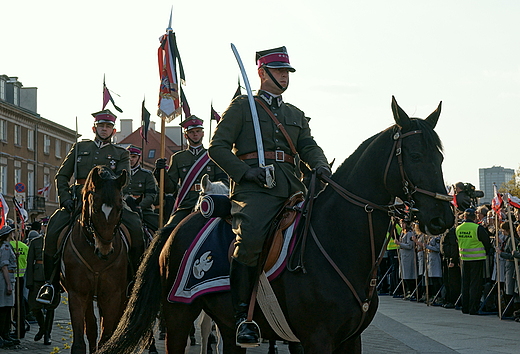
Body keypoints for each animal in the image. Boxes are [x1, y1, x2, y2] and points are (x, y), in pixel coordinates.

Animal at [61, 166, 129, 354]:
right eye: (96, 208)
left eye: (119, 207)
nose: (105, 250)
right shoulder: (78, 294)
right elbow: (80, 340)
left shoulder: (112, 294)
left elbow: (107, 337)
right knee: (91, 327)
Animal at [98, 97, 456, 354]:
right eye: (413, 155)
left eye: (440, 156)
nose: (444, 217)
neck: (337, 239)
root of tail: (179, 224)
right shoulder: (318, 339)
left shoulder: (348, 340)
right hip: (178, 315)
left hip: (224, 324)